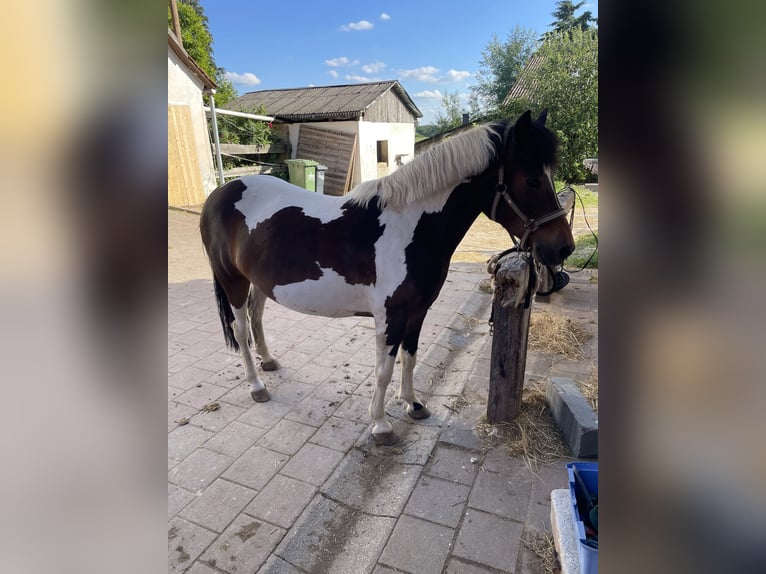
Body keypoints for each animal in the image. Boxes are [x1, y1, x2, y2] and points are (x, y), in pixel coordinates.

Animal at [199, 110, 574, 445]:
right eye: (532, 180)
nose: (563, 248)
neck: (410, 229)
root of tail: (220, 194)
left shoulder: (417, 312)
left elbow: (410, 358)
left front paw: (413, 405)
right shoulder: (390, 316)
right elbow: (384, 370)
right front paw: (381, 425)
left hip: (260, 282)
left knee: (256, 316)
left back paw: (269, 362)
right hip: (232, 280)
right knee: (240, 329)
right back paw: (256, 386)